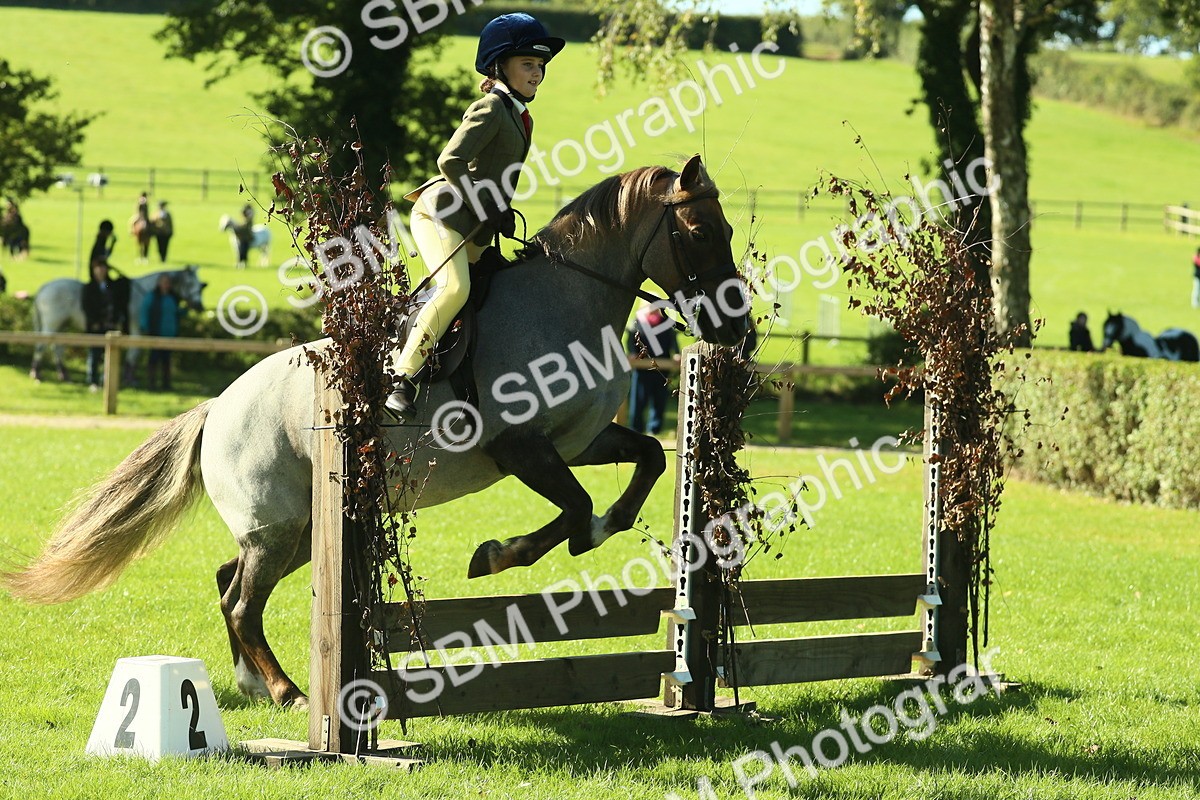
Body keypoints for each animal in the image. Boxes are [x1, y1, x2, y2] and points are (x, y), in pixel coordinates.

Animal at [28, 266, 206, 382]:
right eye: (190, 284)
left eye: (200, 286)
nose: (199, 306)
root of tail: (44, 287)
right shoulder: (136, 329)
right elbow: (134, 352)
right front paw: (129, 378)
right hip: (52, 324)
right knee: (42, 345)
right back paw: (36, 373)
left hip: (61, 325)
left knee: (57, 347)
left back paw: (64, 374)